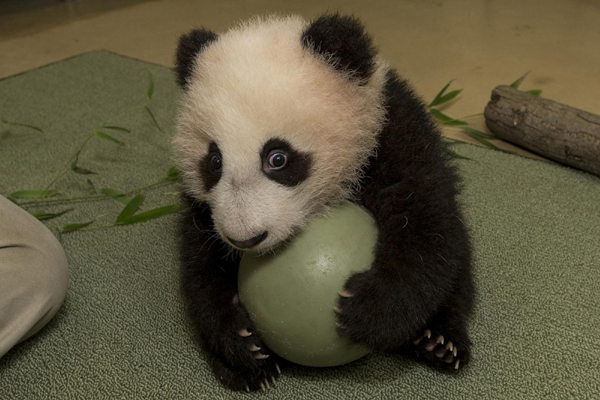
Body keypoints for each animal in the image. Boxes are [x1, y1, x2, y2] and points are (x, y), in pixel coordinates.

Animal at [173, 13, 474, 394]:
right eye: (214, 161)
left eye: (278, 158)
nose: (246, 238)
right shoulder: (204, 207)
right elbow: (200, 262)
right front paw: (243, 343)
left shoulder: (394, 137)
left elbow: (426, 227)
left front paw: (366, 312)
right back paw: (244, 373)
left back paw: (439, 342)